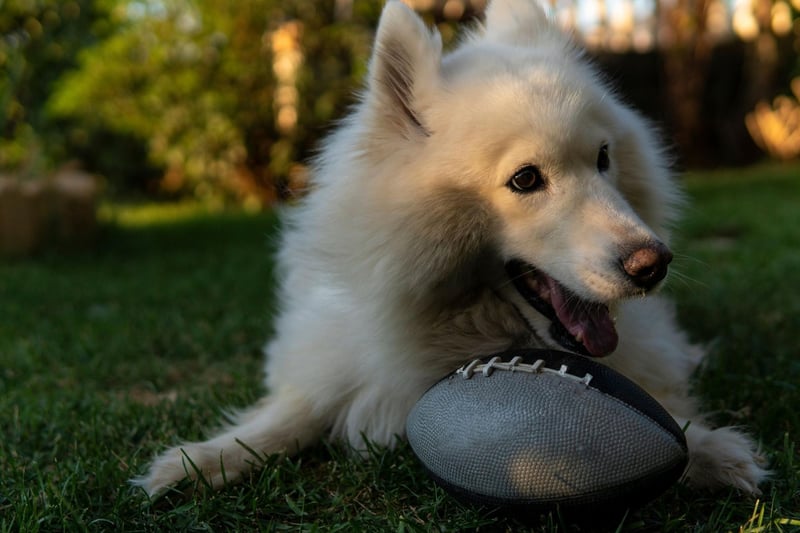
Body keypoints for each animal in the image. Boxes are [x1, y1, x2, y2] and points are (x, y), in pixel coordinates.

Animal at [139, 0, 768, 496]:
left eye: (603, 158)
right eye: (525, 180)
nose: (653, 263)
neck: (454, 328)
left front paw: (709, 450)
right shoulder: (334, 354)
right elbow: (296, 411)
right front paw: (200, 461)